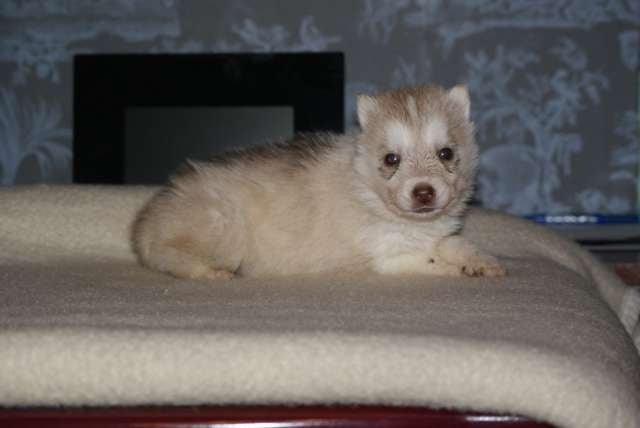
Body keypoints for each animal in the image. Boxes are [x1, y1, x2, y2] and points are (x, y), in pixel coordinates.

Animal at [132, 84, 506, 280]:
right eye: (391, 160)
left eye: (446, 154)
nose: (424, 192)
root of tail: (144, 223)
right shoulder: (385, 256)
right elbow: (430, 262)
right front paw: (455, 269)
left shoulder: (436, 234)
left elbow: (454, 243)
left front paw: (481, 260)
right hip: (223, 225)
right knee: (168, 255)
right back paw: (210, 272)